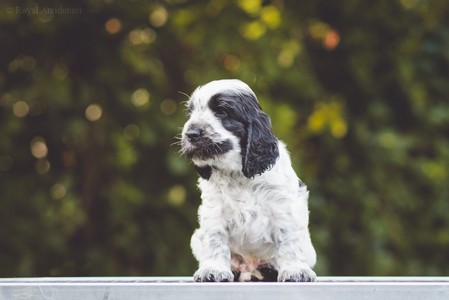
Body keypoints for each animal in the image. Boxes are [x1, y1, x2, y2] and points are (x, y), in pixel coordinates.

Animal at [179, 79, 316, 282]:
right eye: (191, 113)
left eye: (222, 111)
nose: (191, 134)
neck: (238, 174)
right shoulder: (214, 210)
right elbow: (215, 239)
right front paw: (214, 270)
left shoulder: (282, 207)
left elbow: (288, 239)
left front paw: (295, 270)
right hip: (197, 237)